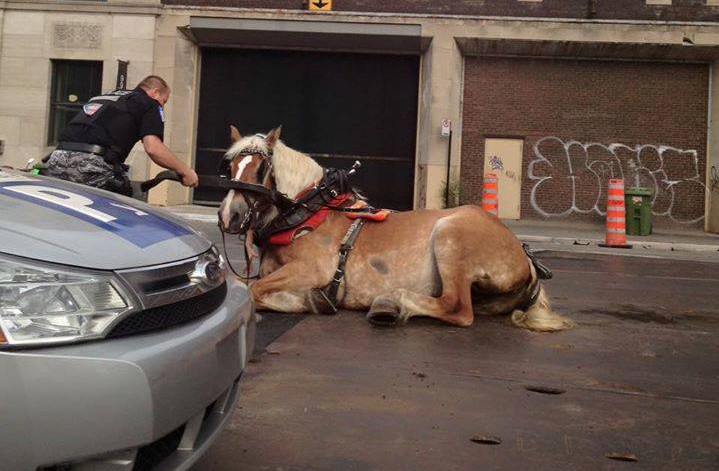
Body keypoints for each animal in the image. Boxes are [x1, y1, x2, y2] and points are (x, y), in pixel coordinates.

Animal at [218, 125, 573, 331]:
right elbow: (248, 287)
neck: (308, 213)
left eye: (261, 167)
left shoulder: (313, 269)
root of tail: (523, 255)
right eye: (231, 165)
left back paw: (394, 301)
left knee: (458, 308)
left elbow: (255, 290)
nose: (228, 216)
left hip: (450, 236)